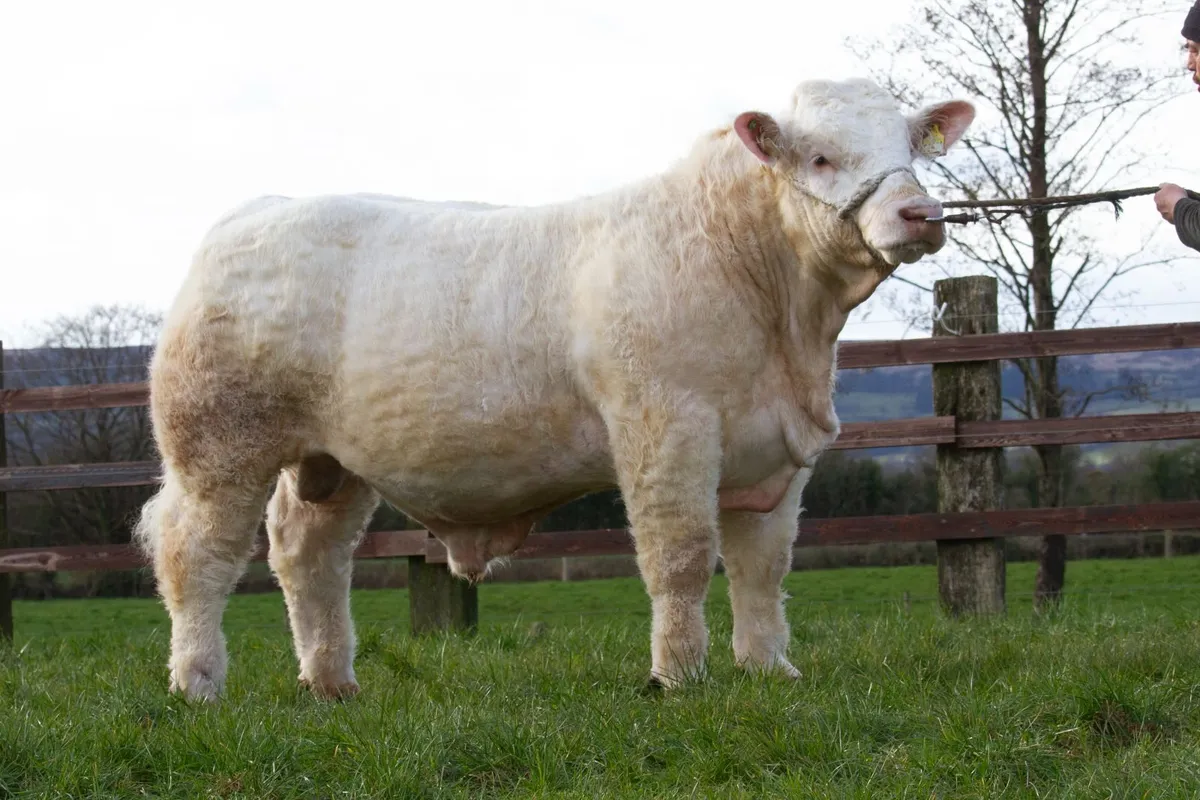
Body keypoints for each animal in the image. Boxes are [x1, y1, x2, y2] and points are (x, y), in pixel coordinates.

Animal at [133, 77, 975, 702]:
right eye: (823, 156)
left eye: (911, 146)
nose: (921, 213)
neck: (784, 326)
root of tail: (256, 211)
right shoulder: (665, 426)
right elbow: (680, 555)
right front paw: (678, 675)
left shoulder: (777, 451)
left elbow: (763, 566)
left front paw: (769, 668)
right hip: (218, 444)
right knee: (196, 552)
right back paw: (197, 683)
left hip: (332, 461)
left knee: (310, 554)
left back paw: (332, 682)